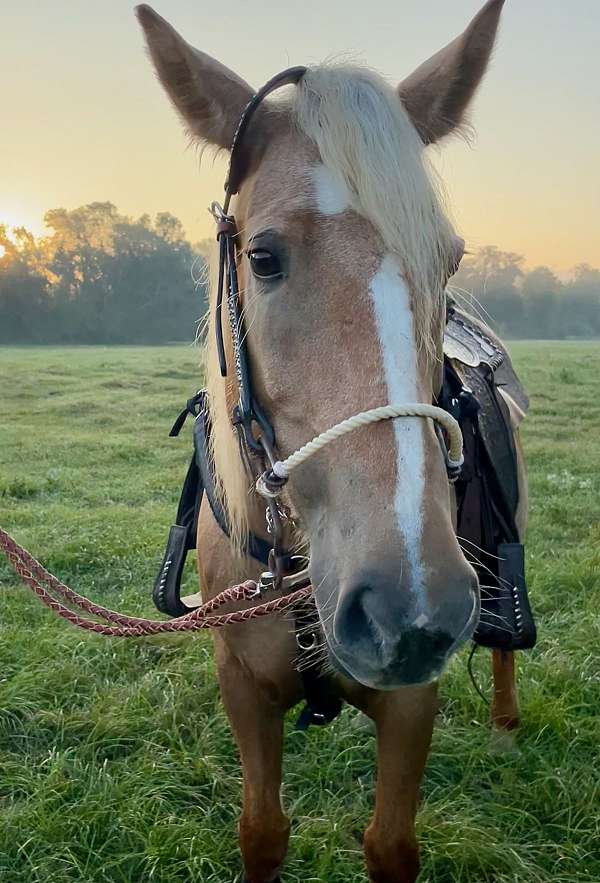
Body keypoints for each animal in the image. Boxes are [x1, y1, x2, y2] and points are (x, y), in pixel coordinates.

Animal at [137, 0, 524, 880]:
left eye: (449, 262)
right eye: (262, 257)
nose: (410, 607)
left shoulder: (412, 702)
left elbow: (390, 844)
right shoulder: (242, 687)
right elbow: (261, 830)